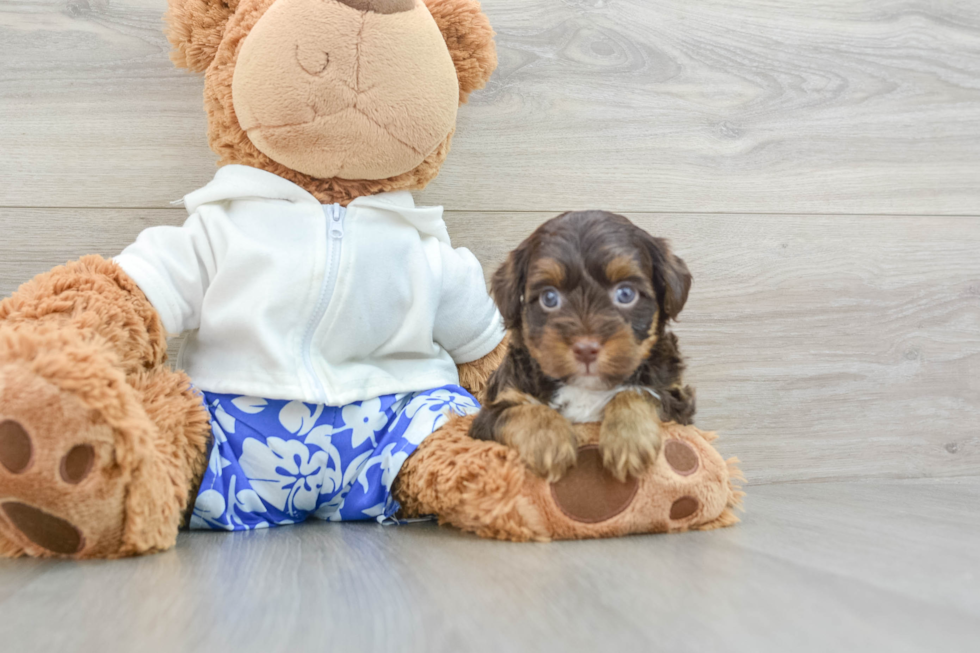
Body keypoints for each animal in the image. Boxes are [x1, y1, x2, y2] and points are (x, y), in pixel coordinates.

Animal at [468, 211, 692, 482]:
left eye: (626, 294)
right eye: (549, 298)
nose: (586, 349)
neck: (585, 387)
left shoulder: (676, 398)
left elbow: (638, 392)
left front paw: (628, 439)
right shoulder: (488, 414)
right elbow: (519, 411)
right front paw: (550, 440)